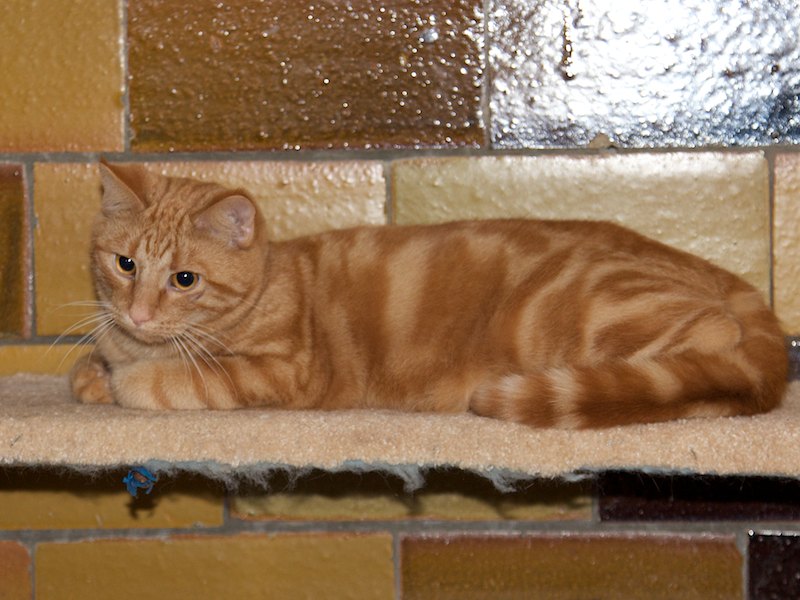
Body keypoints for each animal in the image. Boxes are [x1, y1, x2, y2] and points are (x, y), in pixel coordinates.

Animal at [70, 161, 788, 428]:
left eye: (184, 280)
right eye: (124, 264)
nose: (138, 312)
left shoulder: (283, 373)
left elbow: (171, 381)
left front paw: (125, 378)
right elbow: (92, 367)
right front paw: (94, 370)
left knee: (714, 346)